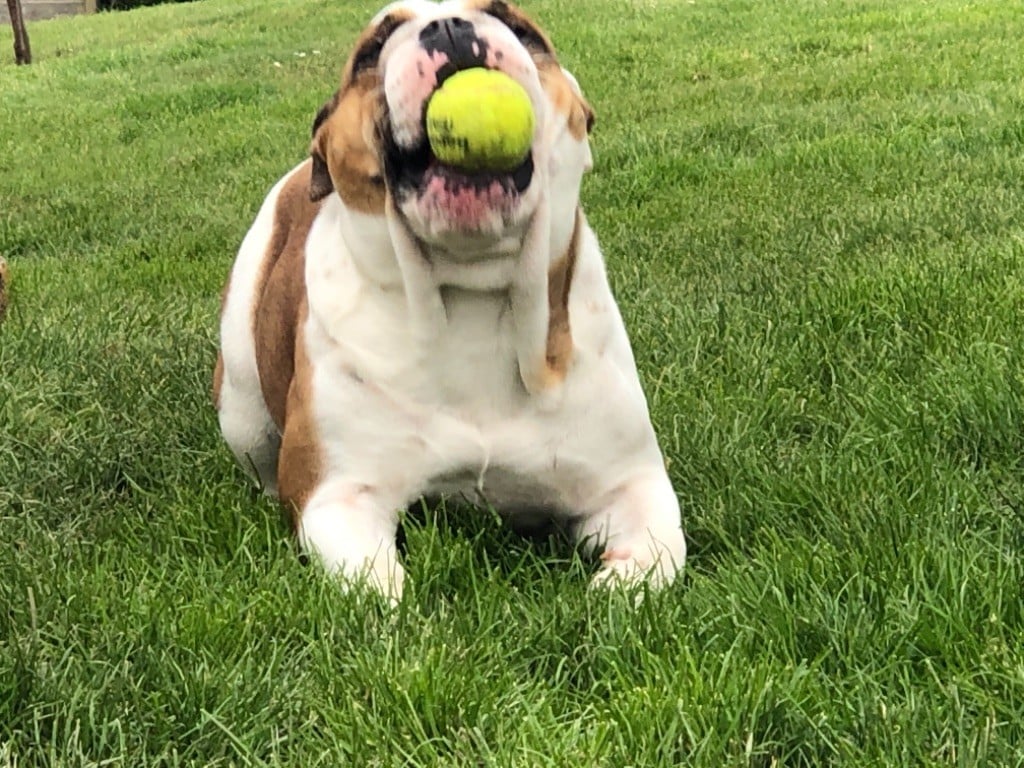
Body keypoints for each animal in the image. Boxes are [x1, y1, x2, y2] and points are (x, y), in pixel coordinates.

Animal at [211, 0, 684, 602]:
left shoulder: (631, 481)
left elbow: (658, 554)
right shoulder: (340, 496)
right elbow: (379, 588)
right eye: (374, 48)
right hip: (241, 404)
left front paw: (612, 589)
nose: (449, 26)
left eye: (520, 27)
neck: (471, 297)